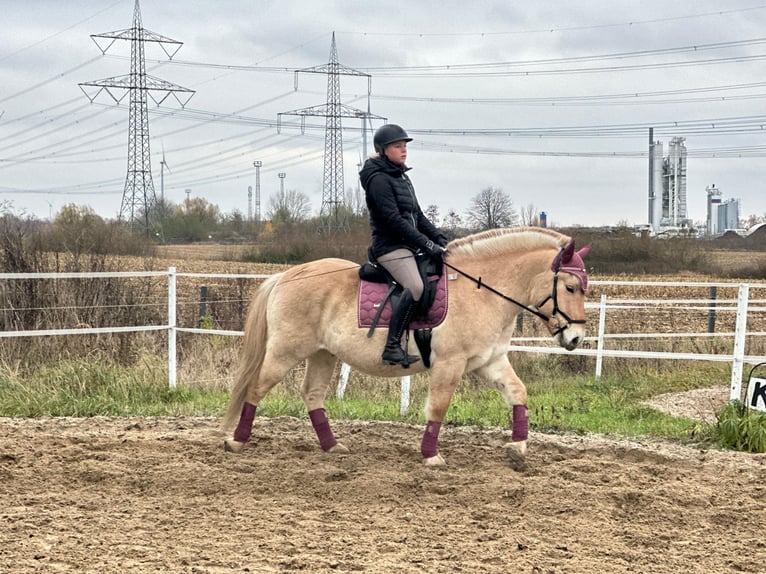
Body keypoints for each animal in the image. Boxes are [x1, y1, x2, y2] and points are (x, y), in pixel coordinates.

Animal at [222, 227, 592, 470]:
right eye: (570, 287)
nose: (575, 339)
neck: (482, 290)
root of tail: (285, 276)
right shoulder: (450, 364)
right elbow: (438, 408)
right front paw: (431, 456)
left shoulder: (490, 361)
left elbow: (518, 393)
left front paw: (518, 449)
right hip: (286, 350)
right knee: (256, 388)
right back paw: (235, 441)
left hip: (323, 353)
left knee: (312, 394)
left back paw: (333, 446)